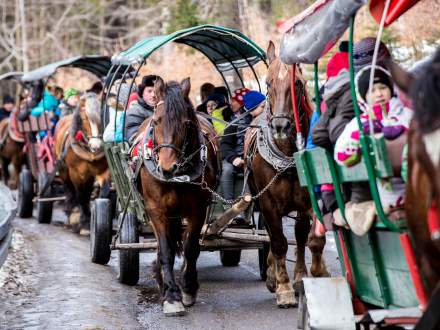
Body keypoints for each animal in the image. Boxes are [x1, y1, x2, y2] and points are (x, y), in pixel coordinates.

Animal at [53, 92, 109, 235]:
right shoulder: (76, 173)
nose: (96, 145)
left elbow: (97, 191)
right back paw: (71, 212)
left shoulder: (99, 172)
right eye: (84, 118)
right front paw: (84, 223)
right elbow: (80, 195)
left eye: (102, 114)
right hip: (63, 169)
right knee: (69, 189)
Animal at [138, 78, 219, 318]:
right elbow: (166, 250)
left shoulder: (197, 209)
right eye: (156, 121)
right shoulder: (156, 209)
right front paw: (171, 297)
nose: (167, 168)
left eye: (187, 124)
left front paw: (188, 289)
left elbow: (191, 247)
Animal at [246, 42, 328, 308]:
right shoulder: (268, 202)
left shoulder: (311, 198)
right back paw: (274, 276)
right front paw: (283, 287)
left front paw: (317, 274)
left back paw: (301, 275)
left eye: (299, 84)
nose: (281, 126)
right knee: (274, 237)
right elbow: (279, 242)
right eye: (268, 83)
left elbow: (313, 239)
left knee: (300, 234)